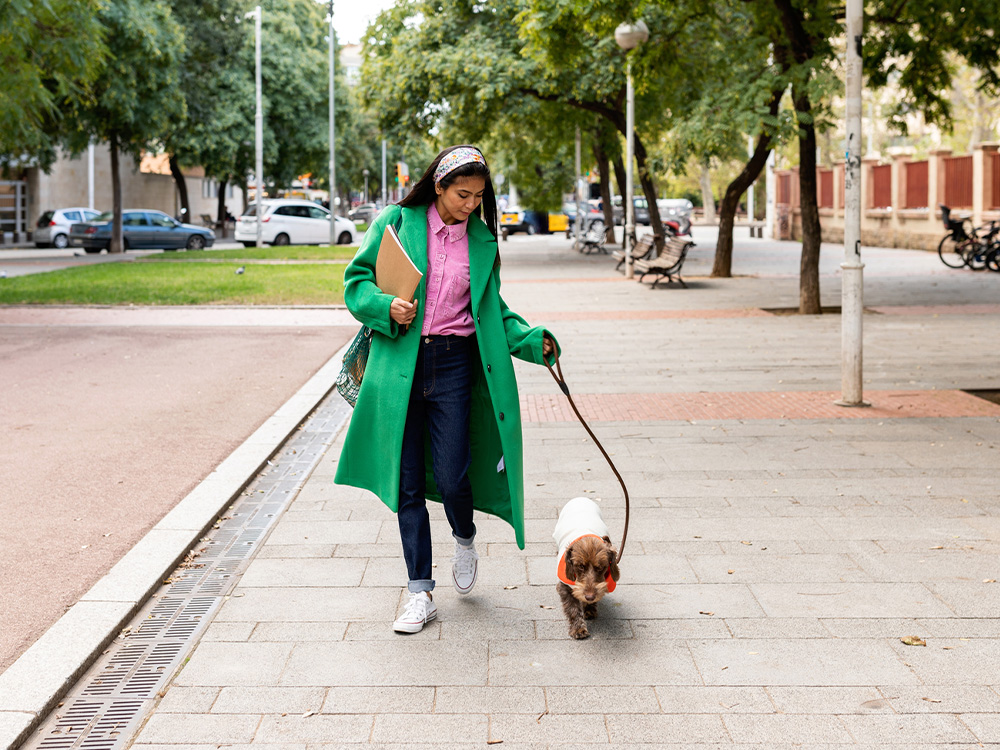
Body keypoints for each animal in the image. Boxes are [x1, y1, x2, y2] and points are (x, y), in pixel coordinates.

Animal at [556, 500, 616, 640]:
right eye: (580, 566)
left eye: (601, 567)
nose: (589, 596)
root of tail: (580, 498)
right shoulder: (565, 587)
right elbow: (573, 608)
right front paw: (578, 628)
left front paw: (589, 608)